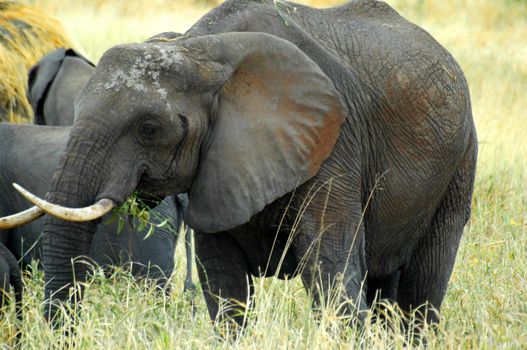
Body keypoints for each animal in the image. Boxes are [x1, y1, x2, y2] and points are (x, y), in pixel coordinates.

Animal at [9, 0, 478, 328]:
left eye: (149, 128)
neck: (198, 51)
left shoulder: (334, 143)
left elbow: (330, 271)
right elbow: (223, 282)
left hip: (460, 161)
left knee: (423, 288)